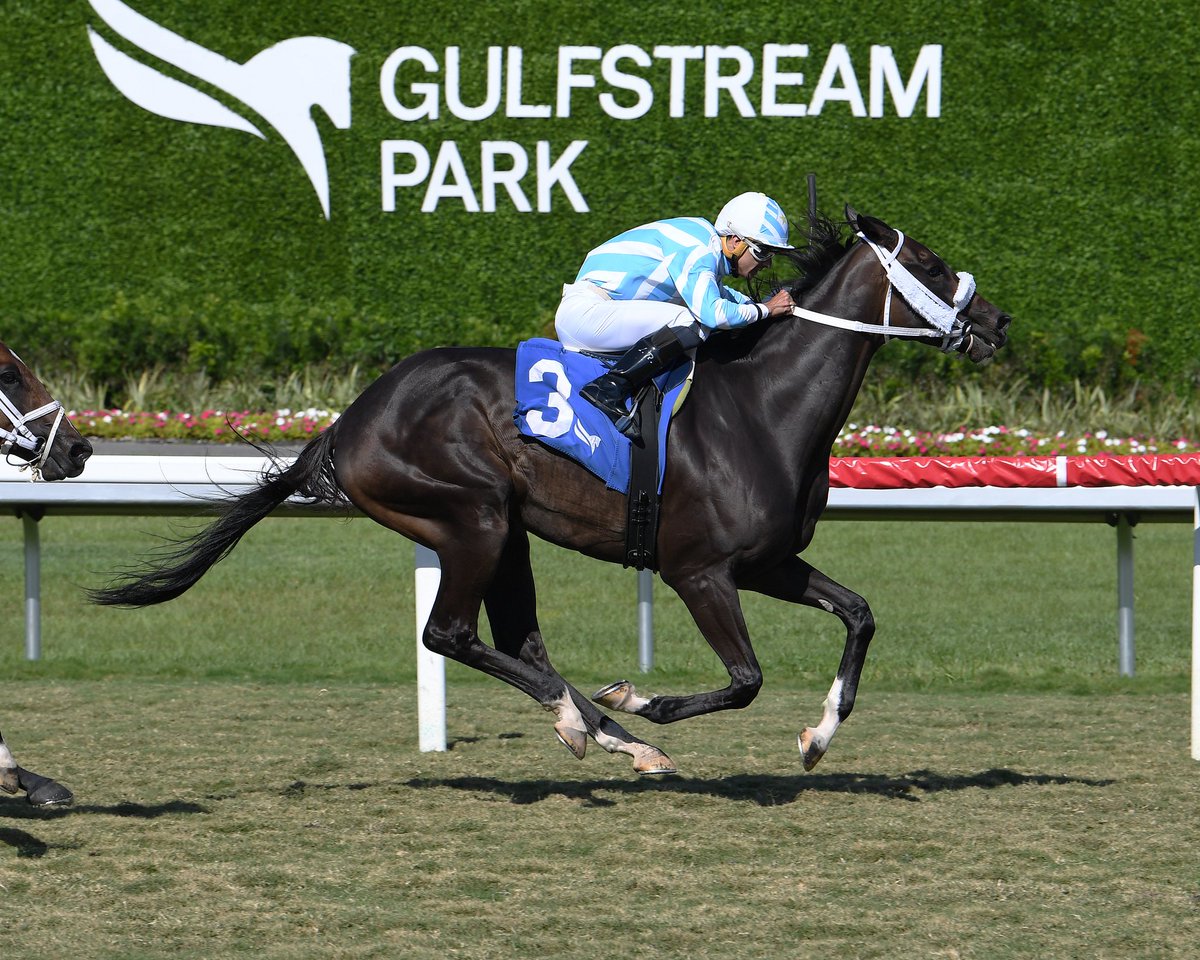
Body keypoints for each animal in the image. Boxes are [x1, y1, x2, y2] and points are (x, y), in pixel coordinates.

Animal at [91, 207, 1012, 772]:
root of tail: (348, 423)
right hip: (471, 517)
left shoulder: (767, 562)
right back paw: (588, 723)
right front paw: (642, 695)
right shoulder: (700, 571)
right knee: (451, 633)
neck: (763, 406)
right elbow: (746, 678)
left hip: (509, 530)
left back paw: (615, 740)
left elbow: (858, 615)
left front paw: (817, 737)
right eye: (929, 263)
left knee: (521, 642)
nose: (998, 322)